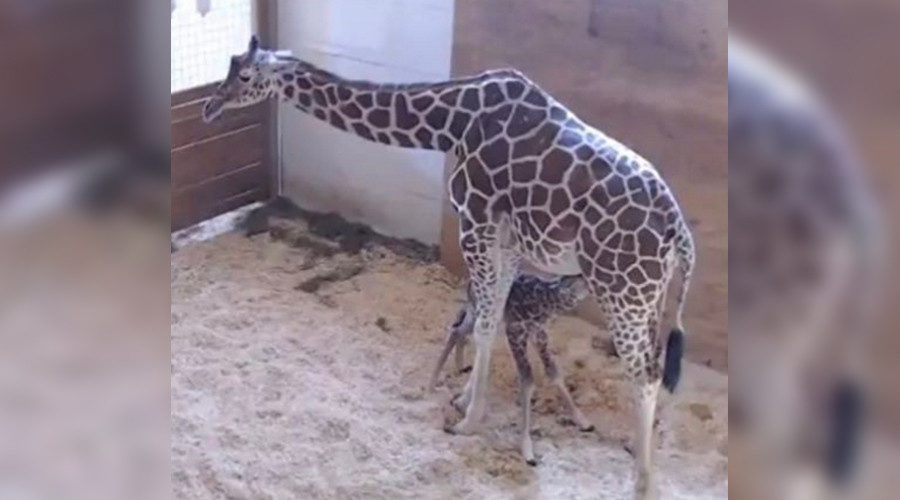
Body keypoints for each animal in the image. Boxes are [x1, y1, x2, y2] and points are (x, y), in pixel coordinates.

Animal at [430, 274, 593, 465]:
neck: (545, 301)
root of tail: (469, 283)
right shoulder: (516, 332)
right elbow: (527, 379)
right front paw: (527, 450)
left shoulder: (538, 333)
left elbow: (553, 372)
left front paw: (583, 421)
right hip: (483, 316)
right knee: (457, 330)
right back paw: (433, 385)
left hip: (488, 319)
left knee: (463, 331)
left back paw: (460, 377)